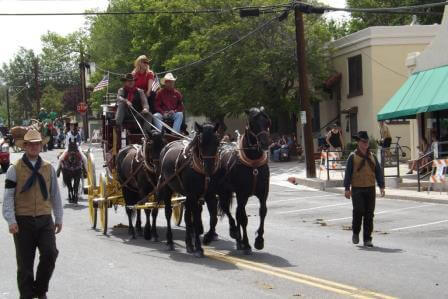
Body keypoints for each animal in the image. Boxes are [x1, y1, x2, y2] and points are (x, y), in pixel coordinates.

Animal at [158, 122, 220, 258]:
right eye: (201, 143)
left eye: (217, 142)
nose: (209, 168)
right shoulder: (193, 194)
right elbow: (195, 220)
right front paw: (198, 248)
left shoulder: (209, 195)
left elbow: (213, 218)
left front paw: (207, 237)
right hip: (167, 188)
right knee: (168, 213)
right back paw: (170, 242)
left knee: (187, 215)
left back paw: (189, 243)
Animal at [216, 106, 270, 254]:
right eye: (252, 123)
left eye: (267, 122)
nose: (265, 143)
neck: (253, 164)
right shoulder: (241, 194)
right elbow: (243, 218)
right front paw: (246, 243)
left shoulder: (263, 193)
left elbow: (263, 212)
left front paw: (259, 240)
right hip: (222, 191)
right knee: (229, 211)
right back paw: (235, 233)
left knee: (236, 212)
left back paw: (238, 240)